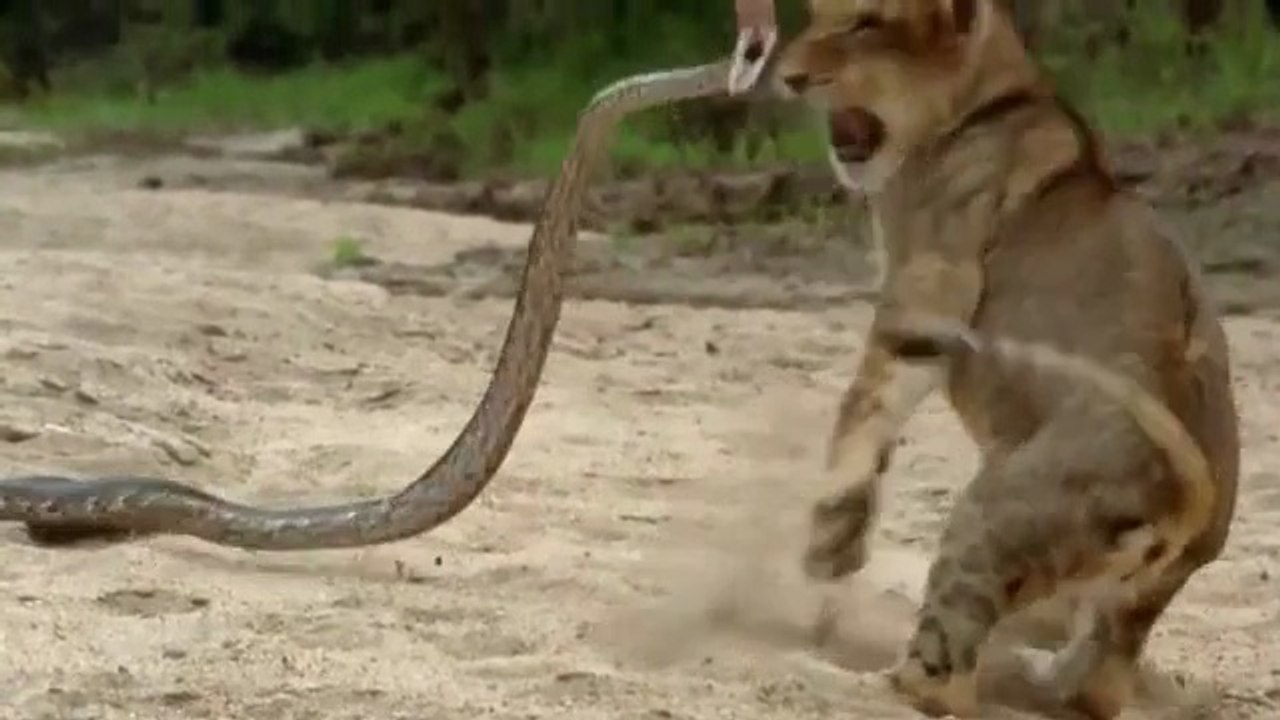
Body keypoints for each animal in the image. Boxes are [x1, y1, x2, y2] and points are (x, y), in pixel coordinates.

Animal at [771, 0, 1240, 717]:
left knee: (942, 682)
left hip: (989, 517)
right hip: (1126, 608)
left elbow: (862, 413)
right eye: (817, 14)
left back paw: (850, 676)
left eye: (865, 24)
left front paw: (828, 541)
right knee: (1093, 688)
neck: (983, 101)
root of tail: (1193, 489)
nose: (790, 78)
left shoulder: (927, 295)